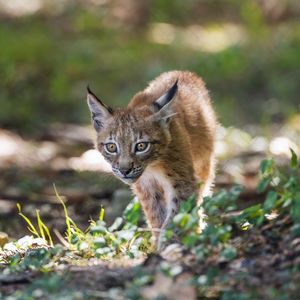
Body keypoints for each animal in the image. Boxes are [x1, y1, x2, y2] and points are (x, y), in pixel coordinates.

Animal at [85, 70, 217, 248]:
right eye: (111, 147)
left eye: (141, 146)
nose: (124, 171)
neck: (153, 166)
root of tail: (183, 72)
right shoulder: (146, 188)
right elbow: (157, 217)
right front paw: (159, 243)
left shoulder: (184, 181)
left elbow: (176, 216)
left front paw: (167, 245)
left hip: (204, 164)